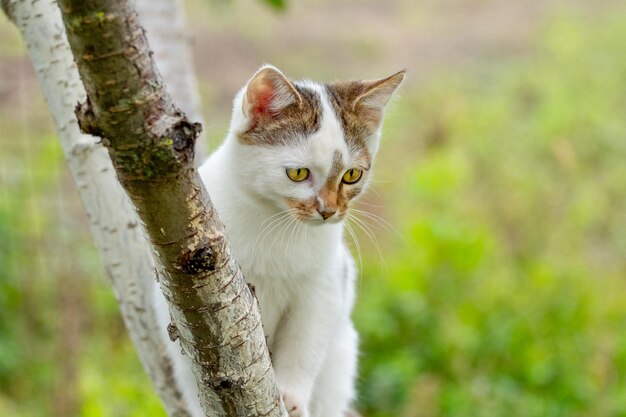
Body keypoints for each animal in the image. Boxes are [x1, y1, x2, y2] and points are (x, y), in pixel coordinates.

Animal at [154, 64, 402, 416]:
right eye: (298, 173)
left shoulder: (324, 286)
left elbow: (305, 344)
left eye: (352, 175)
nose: (328, 211)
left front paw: (291, 396)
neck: (277, 222)